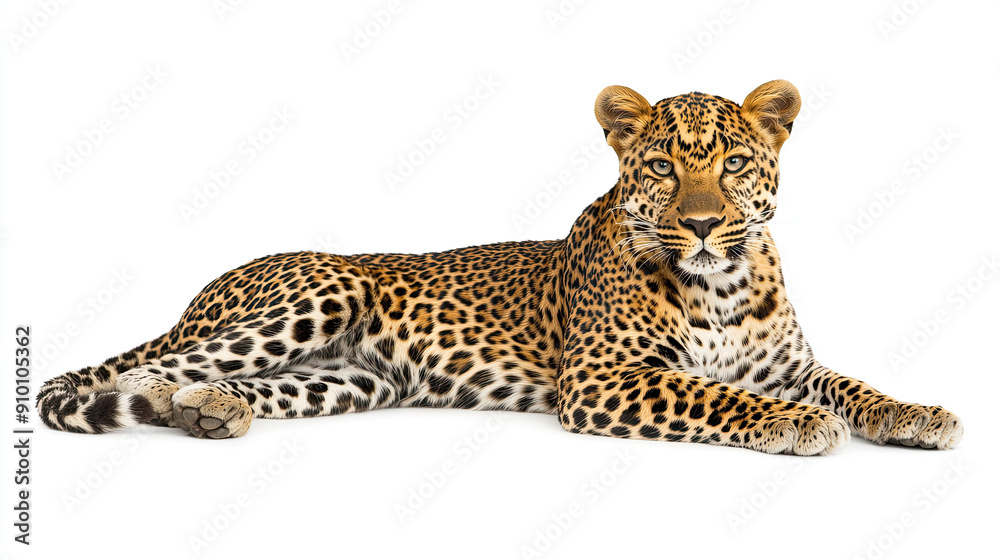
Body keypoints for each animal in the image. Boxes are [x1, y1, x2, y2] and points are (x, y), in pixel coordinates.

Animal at [37, 80, 963, 455]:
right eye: (663, 167)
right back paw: (170, 399)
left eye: (734, 163)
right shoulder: (605, 378)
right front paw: (795, 425)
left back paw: (212, 412)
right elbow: (716, 395)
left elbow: (854, 385)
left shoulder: (788, 363)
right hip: (323, 289)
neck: (724, 283)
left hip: (354, 378)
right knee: (147, 371)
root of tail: (202, 290)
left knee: (229, 383)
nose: (702, 225)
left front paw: (918, 413)